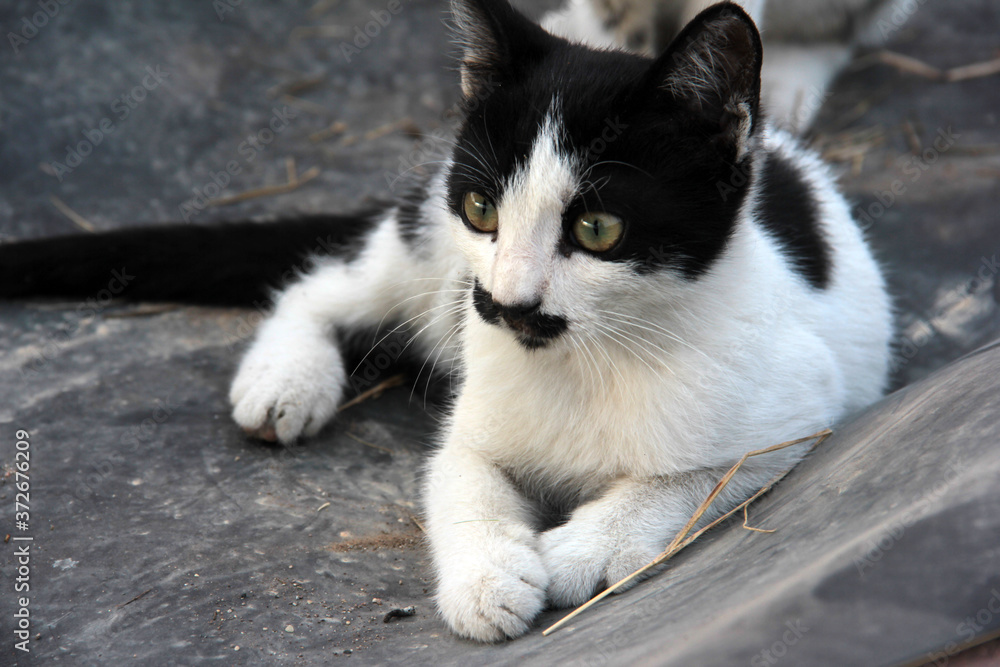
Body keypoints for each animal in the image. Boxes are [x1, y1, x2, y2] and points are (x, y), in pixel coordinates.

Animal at [0, 0, 892, 648]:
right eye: (483, 208)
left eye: (597, 228)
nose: (507, 303)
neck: (586, 361)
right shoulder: (473, 392)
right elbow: (461, 479)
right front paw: (489, 580)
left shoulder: (804, 403)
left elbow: (692, 478)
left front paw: (585, 549)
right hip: (425, 251)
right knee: (324, 282)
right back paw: (287, 377)